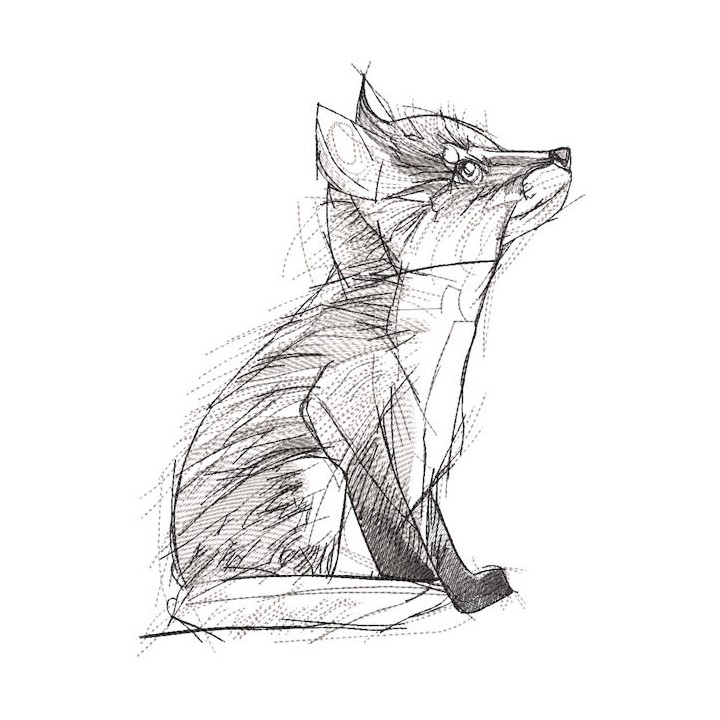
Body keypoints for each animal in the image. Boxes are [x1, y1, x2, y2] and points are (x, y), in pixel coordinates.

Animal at [169, 77, 572, 614]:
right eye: (466, 168)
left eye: (493, 145)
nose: (563, 153)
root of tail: (180, 584)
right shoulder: (350, 421)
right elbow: (406, 538)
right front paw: (460, 596)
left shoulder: (422, 456)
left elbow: (430, 538)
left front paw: (452, 585)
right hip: (314, 478)